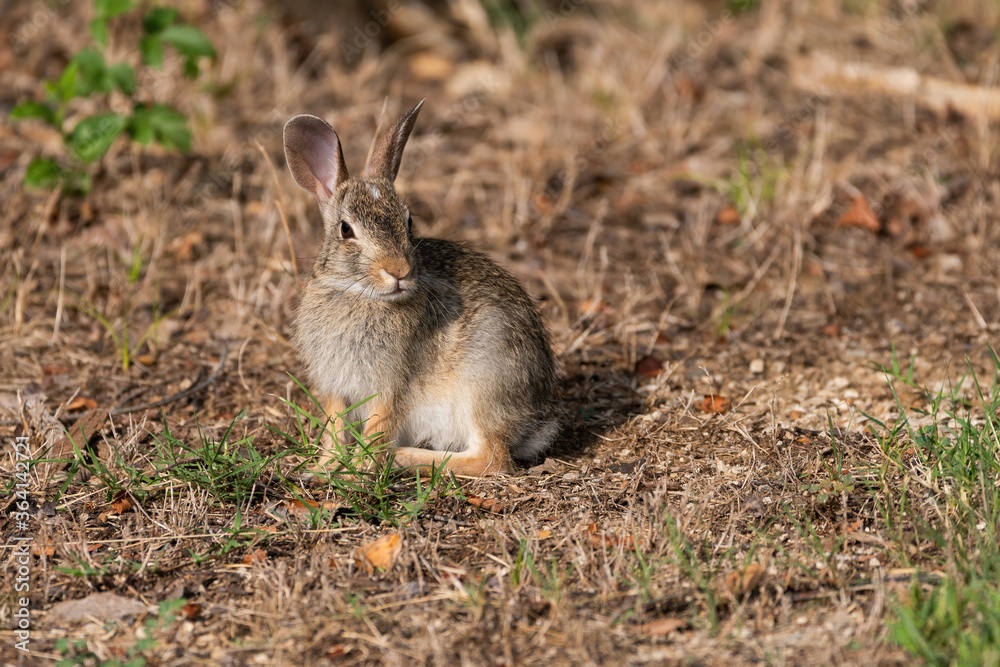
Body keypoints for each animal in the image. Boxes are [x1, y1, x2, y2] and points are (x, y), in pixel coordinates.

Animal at [282, 100, 558, 476]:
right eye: (345, 230)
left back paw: (402, 457)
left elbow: (378, 426)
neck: (360, 294)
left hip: (483, 379)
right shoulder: (336, 387)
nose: (399, 272)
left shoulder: (391, 384)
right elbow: (334, 428)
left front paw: (362, 466)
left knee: (491, 459)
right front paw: (324, 467)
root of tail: (535, 423)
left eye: (408, 221)